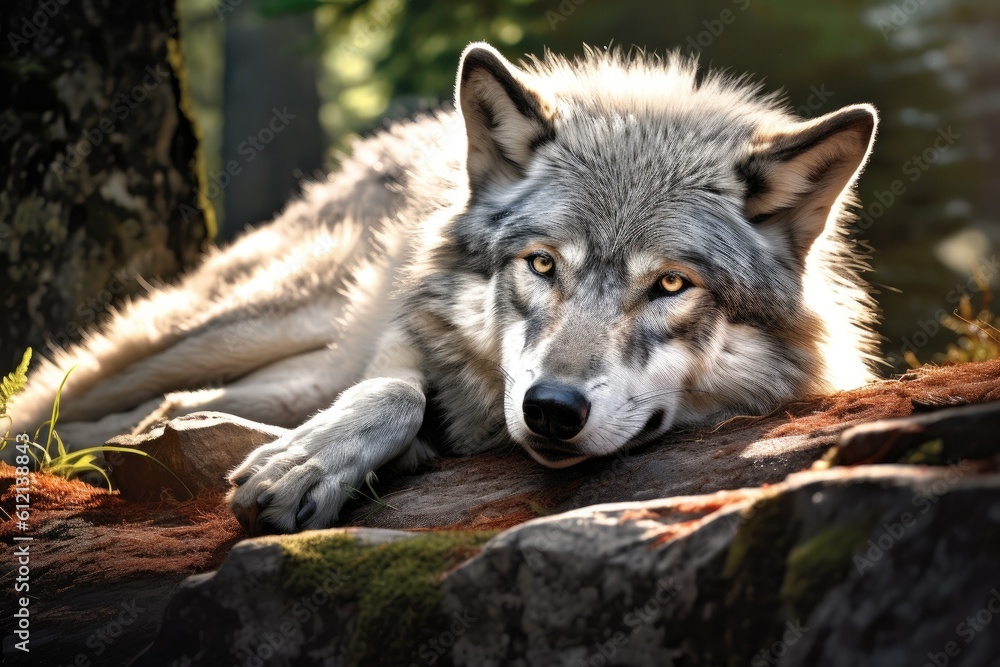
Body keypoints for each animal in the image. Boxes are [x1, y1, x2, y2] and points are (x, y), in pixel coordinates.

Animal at [6, 43, 879, 535]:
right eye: (541, 265)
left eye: (670, 283)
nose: (551, 409)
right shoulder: (408, 326)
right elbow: (392, 391)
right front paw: (306, 467)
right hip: (235, 325)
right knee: (61, 394)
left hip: (289, 369)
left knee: (168, 408)